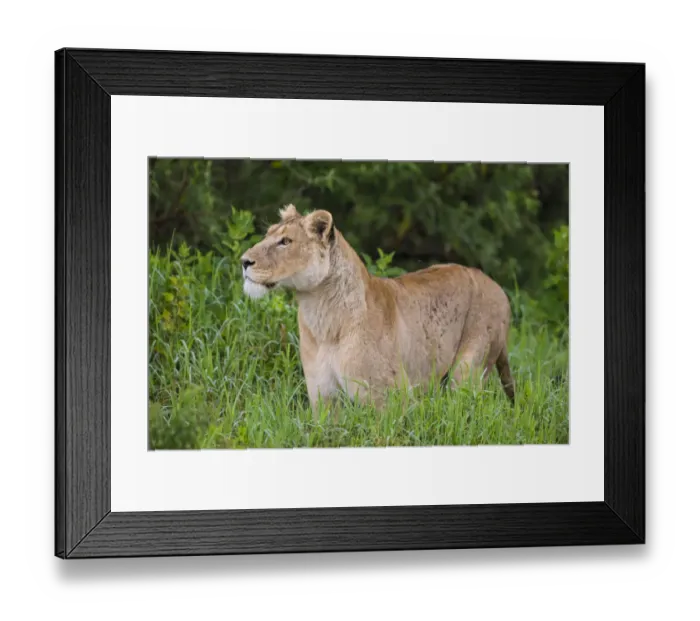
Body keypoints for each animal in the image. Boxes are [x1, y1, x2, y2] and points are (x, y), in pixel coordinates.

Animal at [241, 204, 515, 412]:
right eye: (267, 234)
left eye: (285, 241)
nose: (244, 261)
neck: (319, 315)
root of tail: (498, 287)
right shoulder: (324, 399)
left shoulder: (389, 398)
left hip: (468, 368)